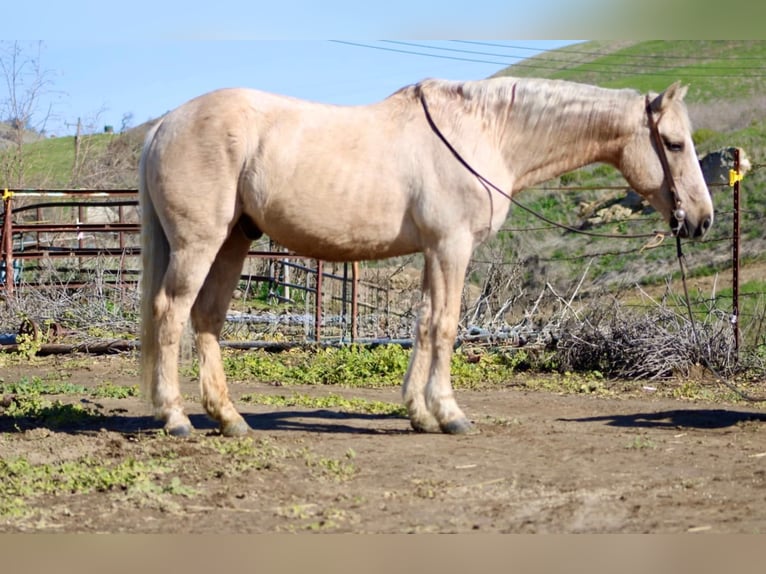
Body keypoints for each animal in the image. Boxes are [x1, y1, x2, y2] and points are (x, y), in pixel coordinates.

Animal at [139, 76, 714, 437]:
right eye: (674, 143)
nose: (702, 219)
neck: (485, 133)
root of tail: (164, 124)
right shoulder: (452, 246)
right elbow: (445, 325)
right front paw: (450, 413)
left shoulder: (433, 251)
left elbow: (421, 324)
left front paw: (419, 413)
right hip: (199, 244)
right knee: (171, 312)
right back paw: (176, 418)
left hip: (234, 241)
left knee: (207, 320)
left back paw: (230, 419)